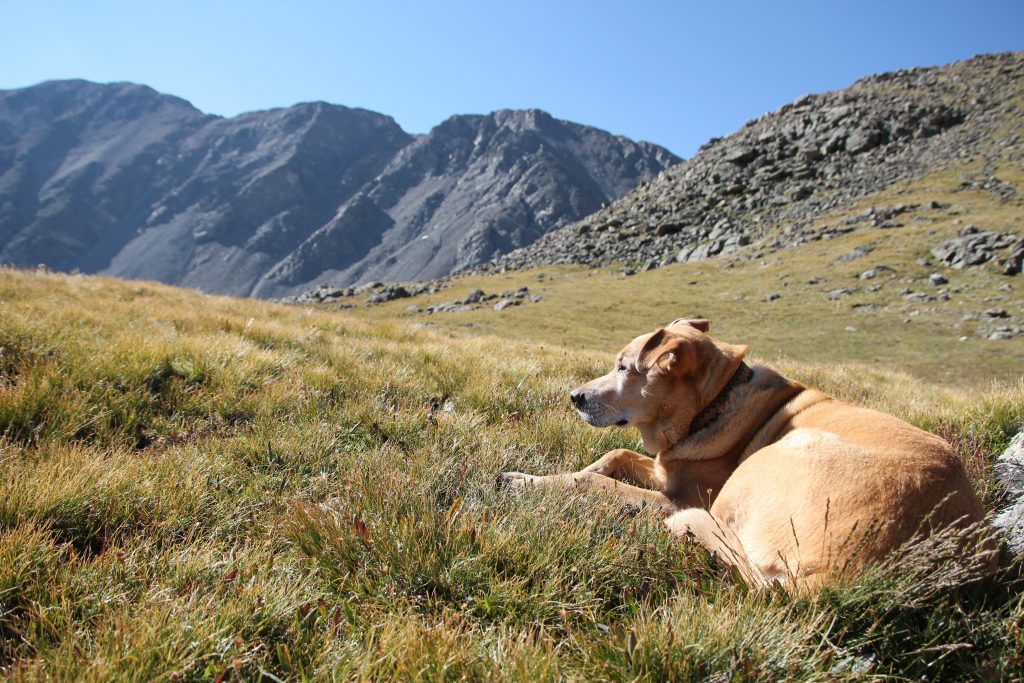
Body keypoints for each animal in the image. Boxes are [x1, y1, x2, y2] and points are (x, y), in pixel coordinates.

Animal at [499, 317, 987, 585]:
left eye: (623, 367)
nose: (575, 396)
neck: (710, 407)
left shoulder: (679, 495)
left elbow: (595, 482)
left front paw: (527, 481)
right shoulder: (667, 467)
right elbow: (615, 455)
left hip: (777, 459)